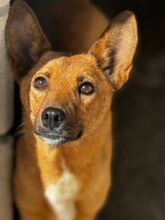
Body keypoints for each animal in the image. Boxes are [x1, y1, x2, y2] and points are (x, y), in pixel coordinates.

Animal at [5, 0, 138, 220]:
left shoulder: (87, 212)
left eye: (86, 88)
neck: (62, 160)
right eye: (39, 82)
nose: (51, 116)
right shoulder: (30, 210)